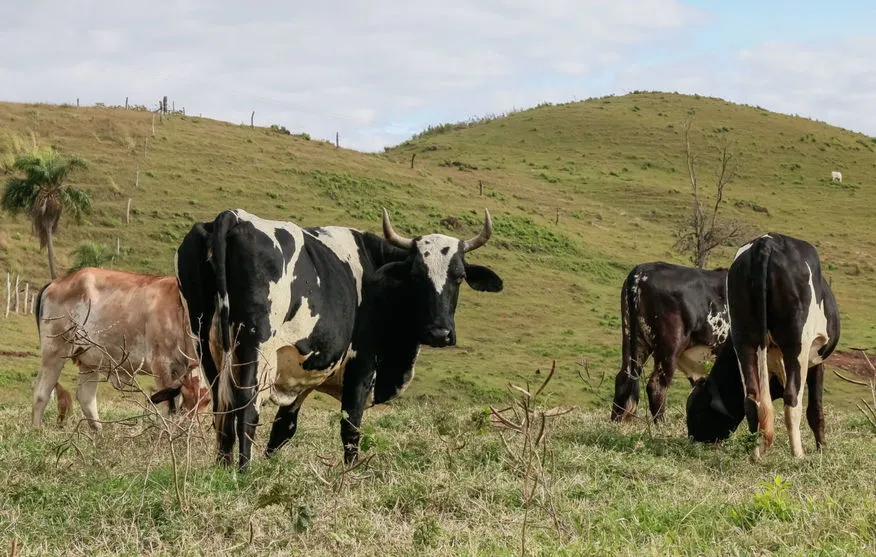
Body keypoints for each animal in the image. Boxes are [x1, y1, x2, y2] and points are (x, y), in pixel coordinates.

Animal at [30, 266, 210, 430]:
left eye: (207, 402)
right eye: (187, 397)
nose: (194, 431)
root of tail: (56, 282)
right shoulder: (161, 365)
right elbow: (166, 410)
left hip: (89, 361)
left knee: (86, 399)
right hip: (54, 351)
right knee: (41, 394)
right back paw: (36, 431)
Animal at [154, 208, 504, 470]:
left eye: (459, 277)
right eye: (417, 275)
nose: (440, 333)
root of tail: (232, 217)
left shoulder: (303, 375)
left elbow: (284, 429)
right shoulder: (361, 365)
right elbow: (351, 426)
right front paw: (349, 475)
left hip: (206, 345)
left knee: (222, 409)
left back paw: (223, 468)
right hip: (254, 348)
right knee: (246, 410)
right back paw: (243, 471)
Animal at [608, 262, 732, 422]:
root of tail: (642, 270)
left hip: (633, 338)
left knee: (624, 378)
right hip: (669, 346)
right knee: (656, 385)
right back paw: (662, 424)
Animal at [684, 232, 840, 458]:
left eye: (695, 409)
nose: (692, 438)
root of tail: (766, 243)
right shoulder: (816, 359)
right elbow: (815, 409)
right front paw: (821, 450)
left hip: (743, 337)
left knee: (752, 399)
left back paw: (755, 455)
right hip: (796, 342)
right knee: (792, 398)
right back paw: (798, 455)